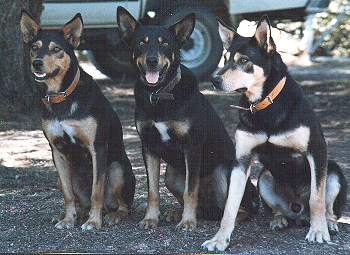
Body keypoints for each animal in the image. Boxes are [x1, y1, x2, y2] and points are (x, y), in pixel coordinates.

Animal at [20, 9, 135, 230]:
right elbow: (68, 194)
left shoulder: (97, 147)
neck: (62, 95)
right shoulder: (57, 151)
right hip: (60, 176)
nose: (36, 63)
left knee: (122, 205)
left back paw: (112, 215)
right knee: (81, 201)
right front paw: (67, 219)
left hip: (117, 169)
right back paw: (72, 214)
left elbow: (97, 191)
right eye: (34, 48)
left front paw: (94, 222)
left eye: (57, 49)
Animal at [116, 5, 258, 230]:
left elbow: (190, 191)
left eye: (165, 43)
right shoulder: (149, 146)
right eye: (141, 42)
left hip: (224, 172)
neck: (160, 94)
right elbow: (153, 190)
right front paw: (150, 218)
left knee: (237, 207)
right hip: (171, 175)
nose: (152, 61)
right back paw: (178, 212)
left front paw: (188, 222)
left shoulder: (192, 147)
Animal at [202, 14, 348, 251]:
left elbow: (317, 198)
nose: (214, 80)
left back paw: (328, 223)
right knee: (279, 209)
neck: (264, 105)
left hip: (333, 171)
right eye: (225, 59)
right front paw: (220, 239)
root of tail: (299, 211)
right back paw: (279, 219)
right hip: (264, 178)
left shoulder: (316, 151)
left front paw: (318, 231)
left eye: (244, 61)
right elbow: (230, 207)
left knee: (326, 207)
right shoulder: (242, 161)